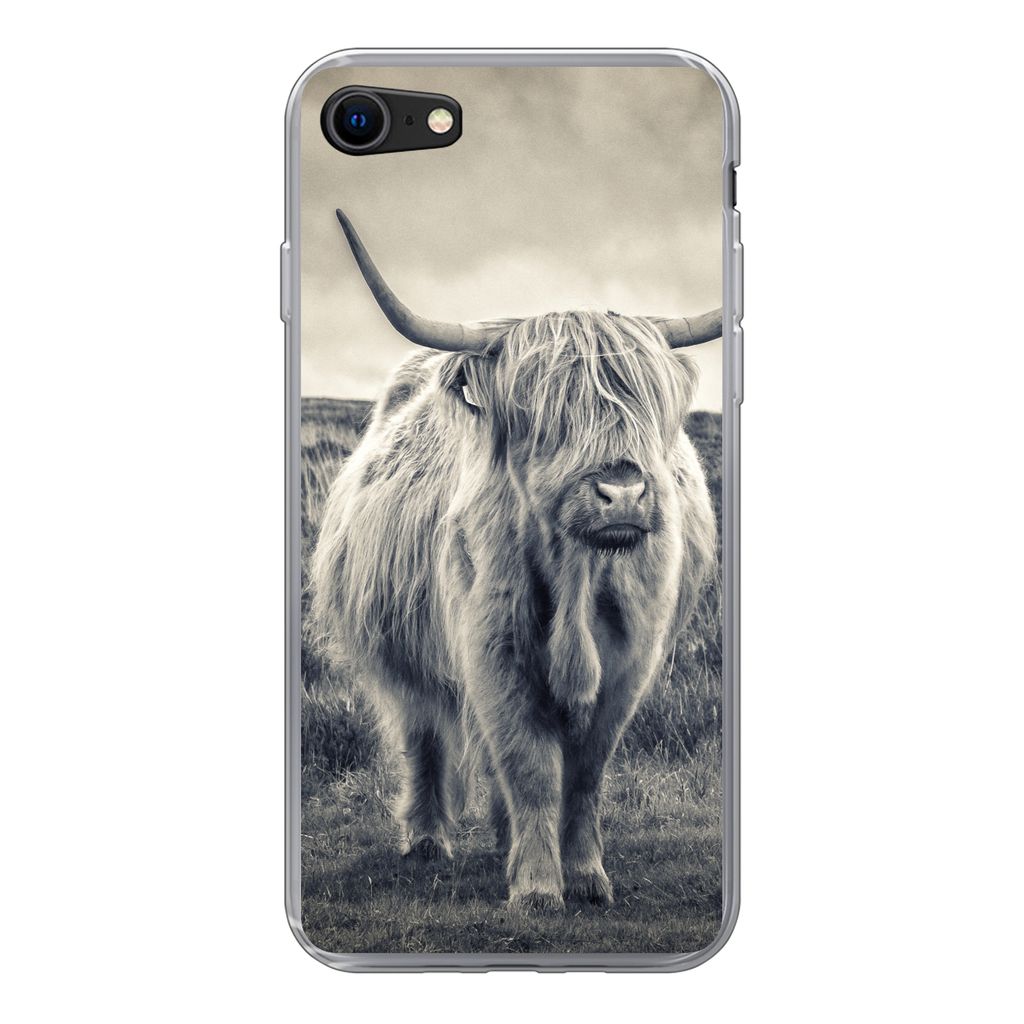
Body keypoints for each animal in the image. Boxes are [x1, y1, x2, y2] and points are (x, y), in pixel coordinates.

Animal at [311, 209, 719, 911]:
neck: (580, 578)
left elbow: (583, 773)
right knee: (424, 733)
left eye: (646, 406)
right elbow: (528, 764)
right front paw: (535, 888)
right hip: (403, 653)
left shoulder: (630, 662)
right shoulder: (492, 650)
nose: (621, 492)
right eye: (545, 413)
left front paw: (585, 876)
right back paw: (428, 840)